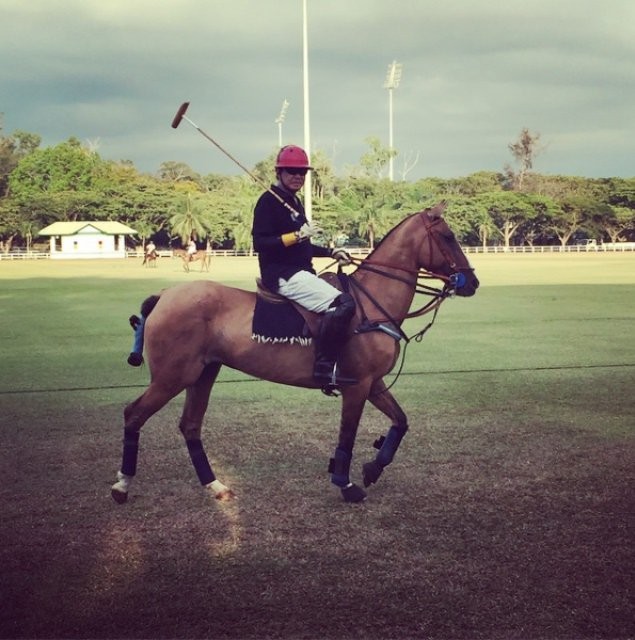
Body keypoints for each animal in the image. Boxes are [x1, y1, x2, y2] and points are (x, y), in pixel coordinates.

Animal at [114, 204, 480, 504]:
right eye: (448, 236)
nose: (472, 283)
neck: (372, 303)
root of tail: (164, 295)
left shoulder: (373, 382)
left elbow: (401, 421)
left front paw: (373, 468)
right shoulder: (357, 385)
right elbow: (347, 435)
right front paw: (346, 485)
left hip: (203, 372)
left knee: (190, 425)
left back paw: (215, 486)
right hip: (172, 376)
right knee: (134, 414)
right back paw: (122, 486)